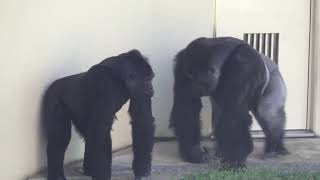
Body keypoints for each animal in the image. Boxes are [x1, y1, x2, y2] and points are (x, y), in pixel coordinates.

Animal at [42, 50, 155, 180]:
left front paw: (142, 170)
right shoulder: (104, 82)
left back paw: (89, 169)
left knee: (87, 134)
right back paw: (56, 175)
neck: (120, 76)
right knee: (59, 138)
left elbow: (142, 120)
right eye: (147, 80)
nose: (151, 90)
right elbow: (101, 130)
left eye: (151, 78)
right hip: (52, 96)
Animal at [169, 37, 288, 168]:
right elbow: (186, 107)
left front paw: (233, 158)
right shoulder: (181, 63)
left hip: (275, 77)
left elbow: (234, 114)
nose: (191, 88)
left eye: (195, 79)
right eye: (188, 76)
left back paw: (273, 146)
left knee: (268, 113)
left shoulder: (244, 65)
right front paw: (193, 151)